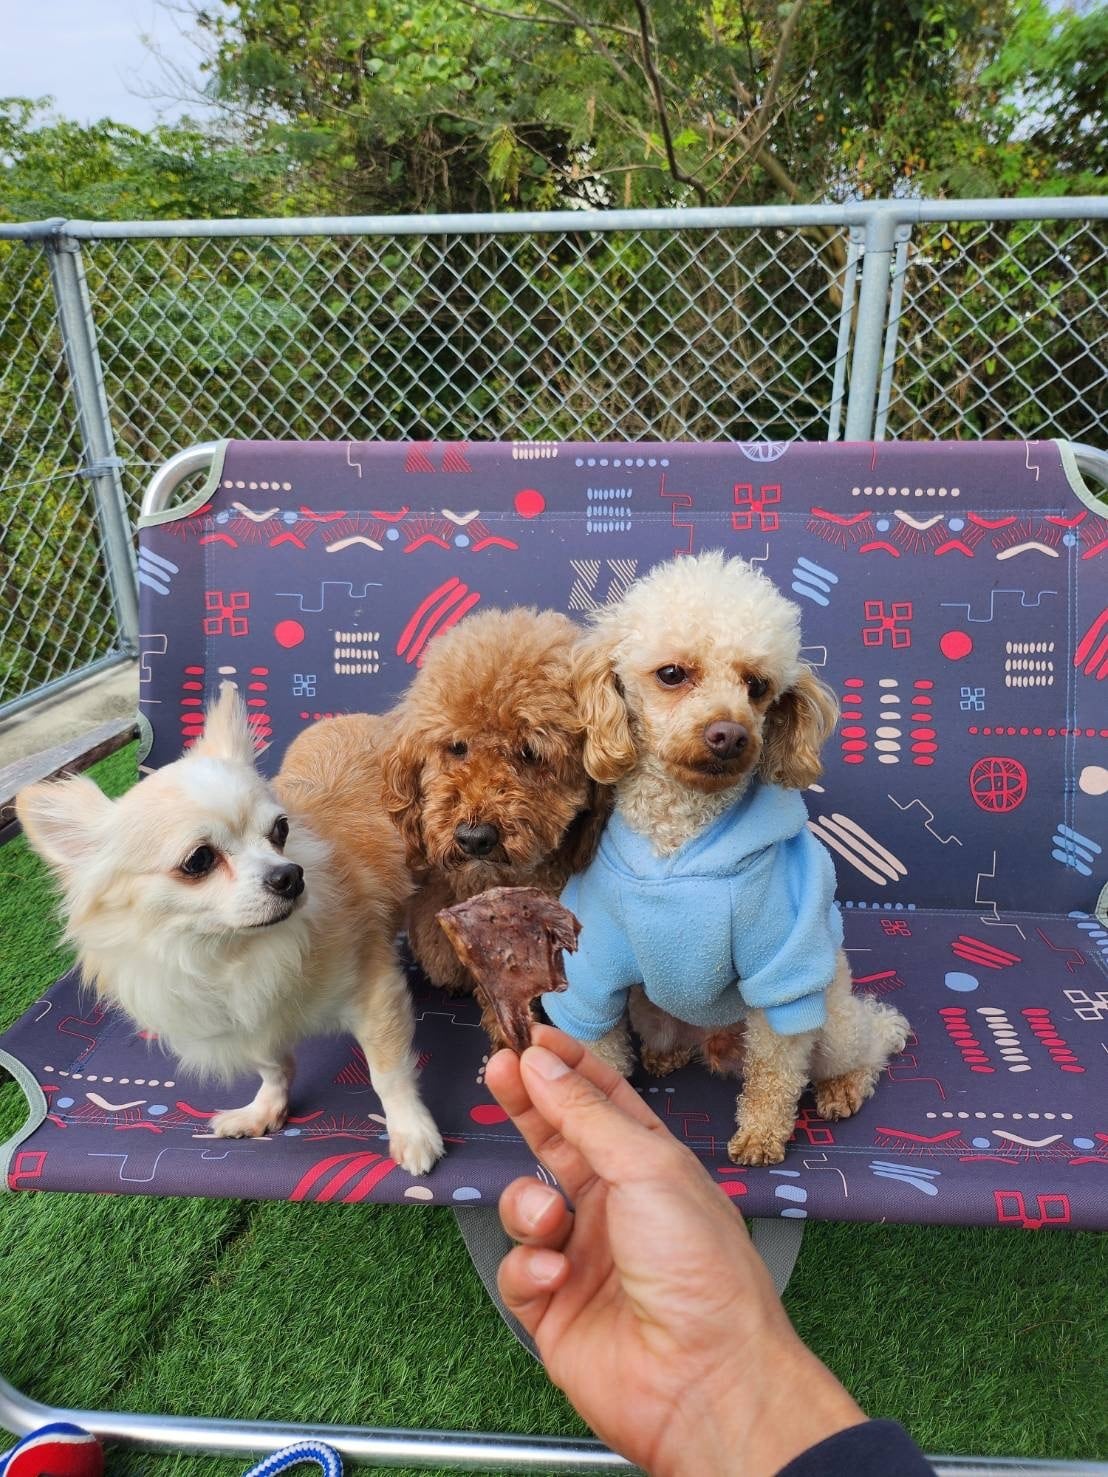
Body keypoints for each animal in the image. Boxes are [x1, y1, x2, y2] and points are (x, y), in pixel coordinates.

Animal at [16, 684, 444, 1175]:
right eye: (199, 860)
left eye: (280, 830)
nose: (290, 875)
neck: (233, 951)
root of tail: (356, 718)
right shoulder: (249, 1018)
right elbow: (272, 1066)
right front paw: (266, 1108)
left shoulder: (375, 994)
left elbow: (387, 1074)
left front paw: (410, 1131)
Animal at [545, 550, 910, 1166]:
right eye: (672, 674)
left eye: (757, 686)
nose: (730, 734)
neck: (679, 839)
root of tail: (714, 1043)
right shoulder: (592, 966)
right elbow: (599, 1050)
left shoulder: (781, 965)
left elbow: (776, 1070)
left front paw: (761, 1135)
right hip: (652, 1010)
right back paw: (668, 1055)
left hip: (834, 1018)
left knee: (869, 1044)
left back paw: (843, 1086)